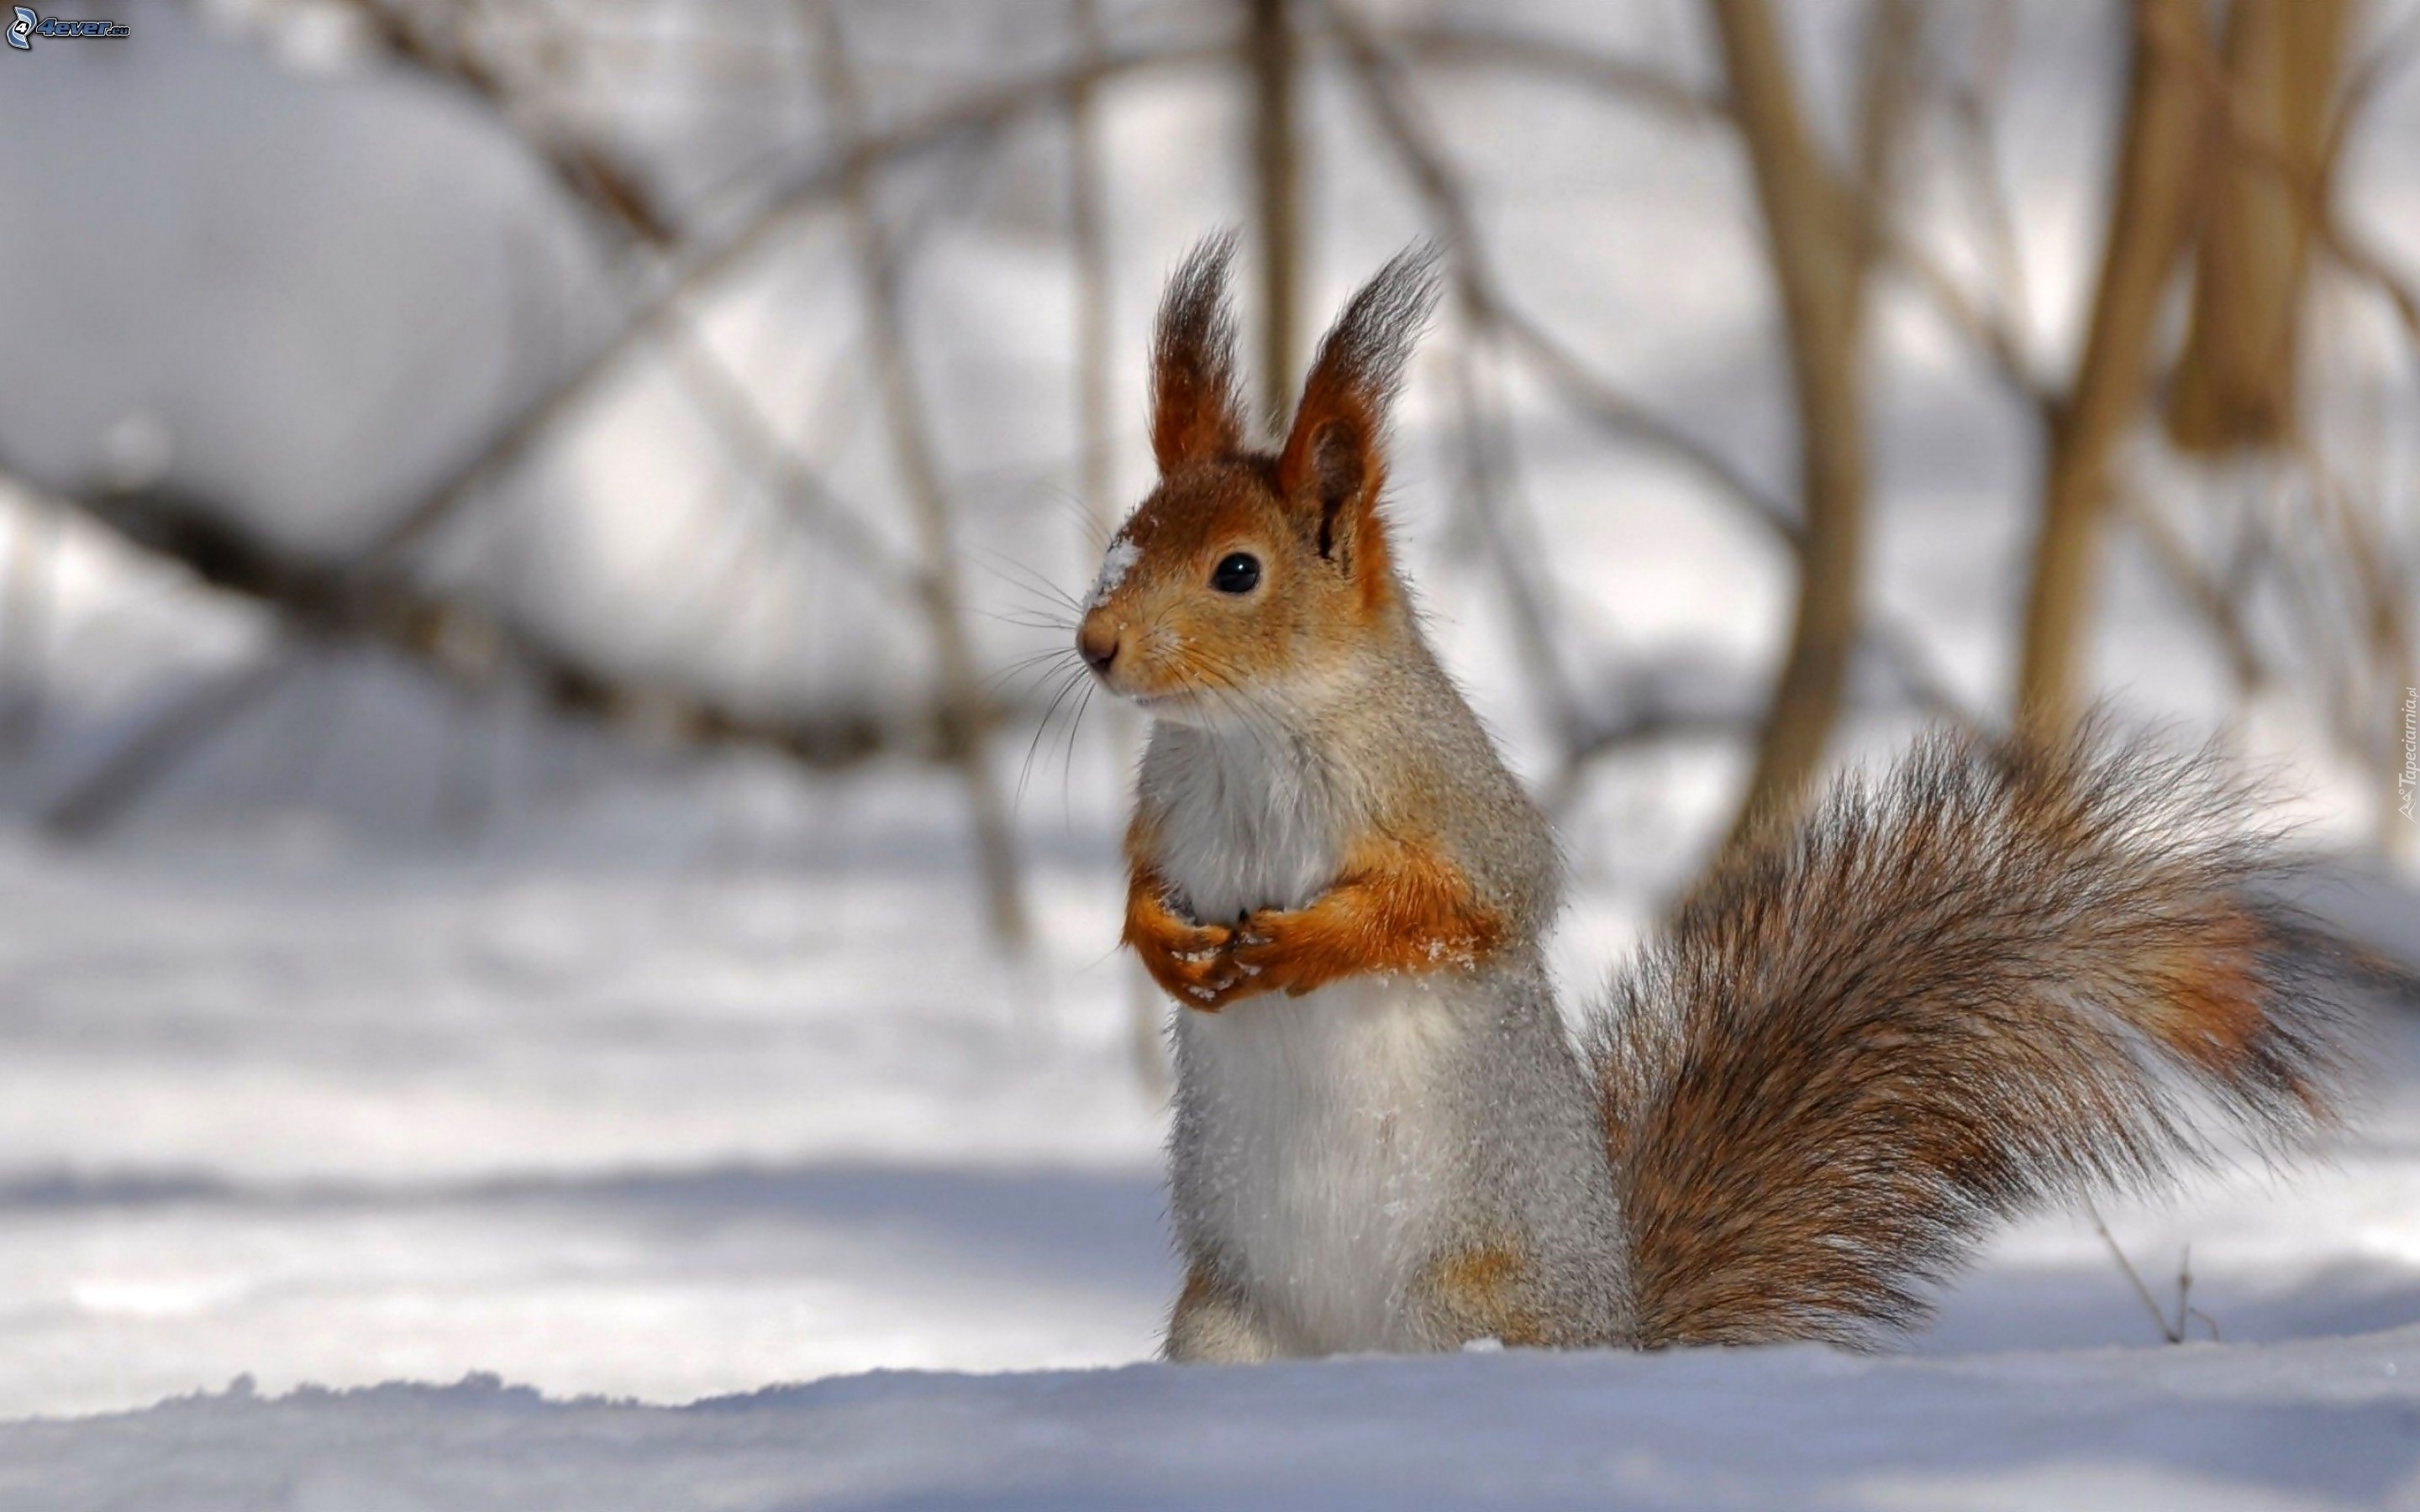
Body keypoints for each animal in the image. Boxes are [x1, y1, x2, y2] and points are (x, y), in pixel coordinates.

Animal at [1084, 235, 2400, 1354]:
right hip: (1226, 1325)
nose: (1096, 647)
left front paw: (1304, 945)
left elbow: (1474, 907)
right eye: (1123, 536)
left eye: (1237, 572)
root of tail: (1620, 1335)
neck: (1250, 735)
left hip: (1464, 1302)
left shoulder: (1451, 802)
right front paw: (1160, 943)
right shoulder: (1169, 800)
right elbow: (1144, 880)